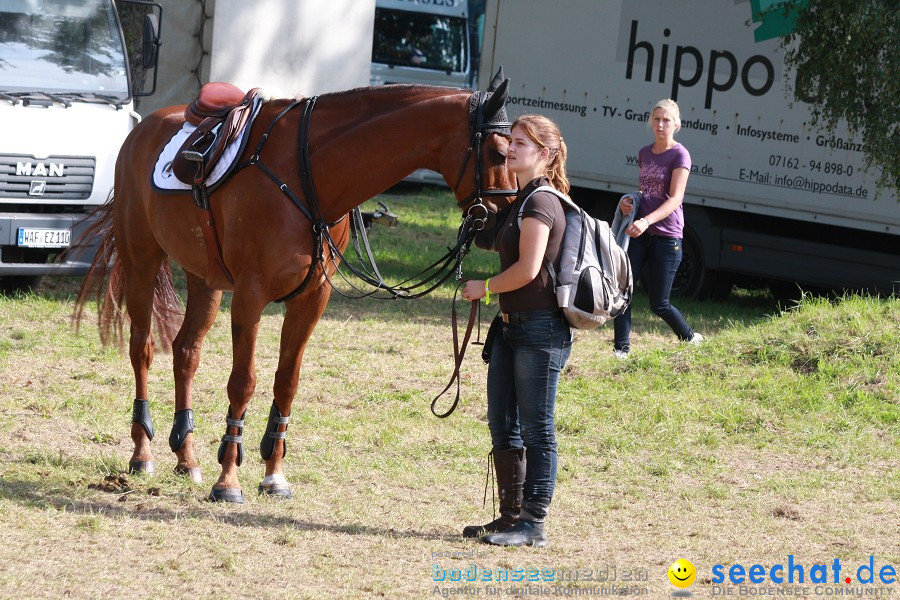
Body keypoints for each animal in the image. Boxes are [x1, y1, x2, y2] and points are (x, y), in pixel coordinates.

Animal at [77, 76, 516, 506]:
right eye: (498, 153)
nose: (506, 219)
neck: (309, 174)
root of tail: (144, 128)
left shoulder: (311, 298)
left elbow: (286, 382)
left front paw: (273, 476)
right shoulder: (251, 294)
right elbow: (243, 381)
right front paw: (228, 479)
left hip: (205, 278)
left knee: (186, 352)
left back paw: (187, 458)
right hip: (142, 260)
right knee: (142, 349)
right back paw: (142, 453)